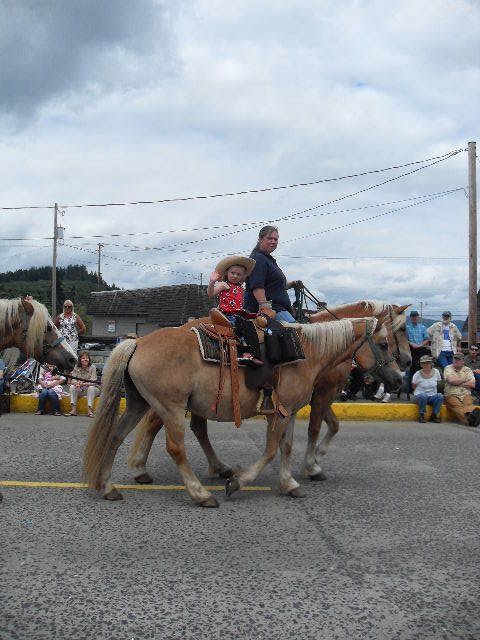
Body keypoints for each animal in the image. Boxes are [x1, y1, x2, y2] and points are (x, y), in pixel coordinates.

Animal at [84, 316, 380, 504]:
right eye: (385, 343)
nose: (380, 378)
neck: (305, 352)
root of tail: (138, 342)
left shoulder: (290, 411)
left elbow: (285, 447)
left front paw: (289, 483)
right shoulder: (281, 411)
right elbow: (271, 449)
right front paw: (239, 481)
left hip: (139, 403)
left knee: (116, 436)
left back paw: (109, 486)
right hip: (171, 408)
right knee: (176, 447)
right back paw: (200, 494)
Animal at [127, 300, 408, 490]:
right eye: (389, 340)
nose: (399, 377)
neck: (310, 351)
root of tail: (140, 342)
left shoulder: (304, 402)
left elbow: (314, 432)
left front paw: (306, 468)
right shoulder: (318, 395)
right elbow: (307, 432)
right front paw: (310, 465)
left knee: (192, 428)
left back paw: (213, 467)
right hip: (179, 402)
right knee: (160, 425)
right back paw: (144, 468)